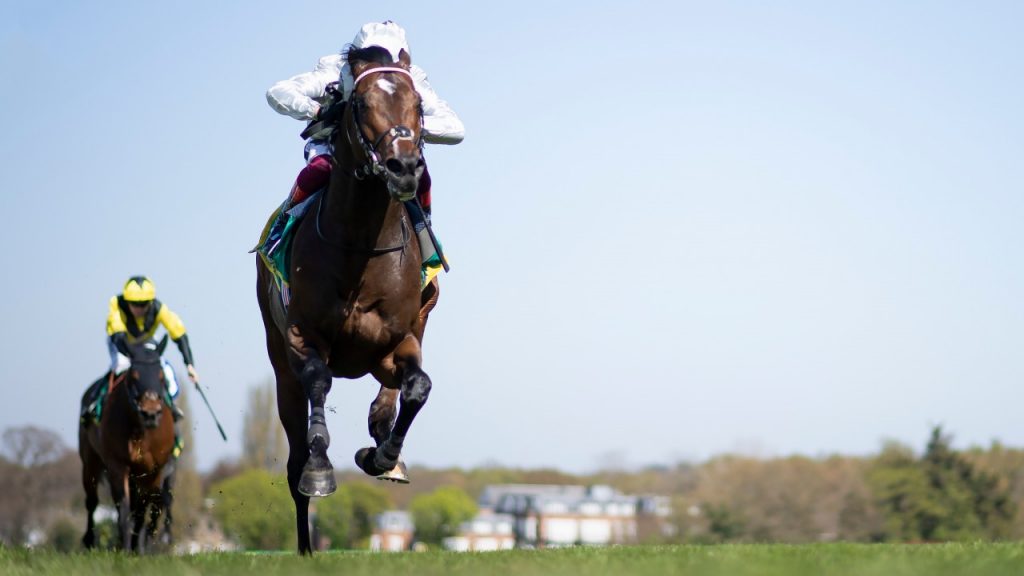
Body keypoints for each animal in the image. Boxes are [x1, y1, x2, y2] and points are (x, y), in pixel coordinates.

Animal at [78, 336, 175, 553]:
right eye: (134, 375)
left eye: (161, 376)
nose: (150, 413)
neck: (140, 431)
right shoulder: (117, 465)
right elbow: (123, 506)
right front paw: (126, 546)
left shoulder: (154, 470)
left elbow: (142, 508)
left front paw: (138, 547)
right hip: (90, 461)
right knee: (92, 501)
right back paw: (90, 541)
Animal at [256, 43, 440, 553]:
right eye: (360, 103)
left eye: (417, 104)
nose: (404, 167)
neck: (360, 248)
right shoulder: (303, 338)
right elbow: (318, 382)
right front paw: (321, 469)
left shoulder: (398, 341)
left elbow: (417, 387)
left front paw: (382, 455)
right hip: (279, 367)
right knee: (293, 456)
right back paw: (304, 546)